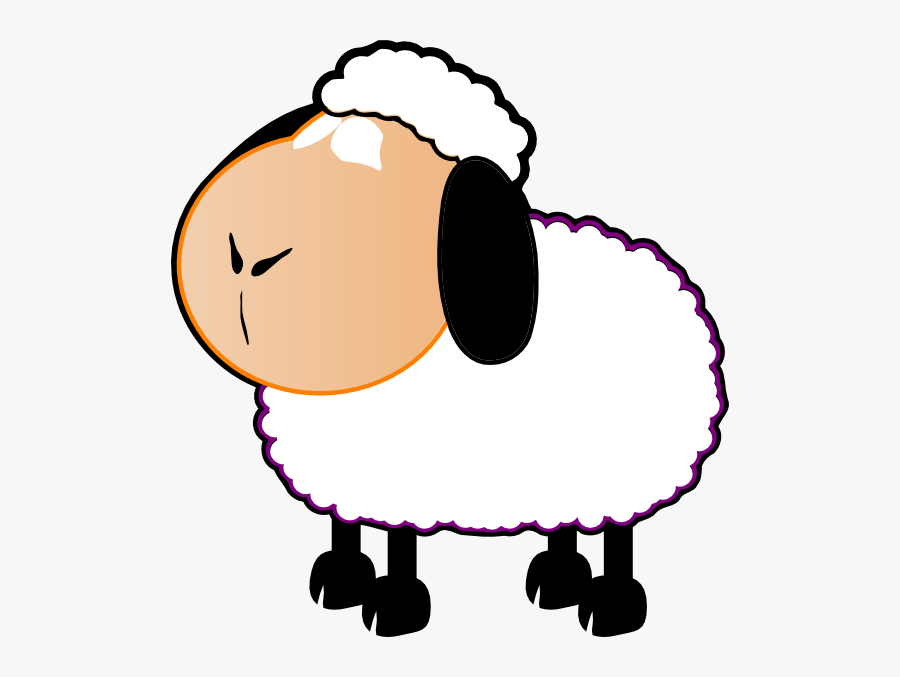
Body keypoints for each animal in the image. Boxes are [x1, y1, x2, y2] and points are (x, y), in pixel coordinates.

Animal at [172, 41, 727, 638]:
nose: (246, 257)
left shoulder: (404, 476)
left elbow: (398, 545)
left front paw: (393, 607)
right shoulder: (349, 474)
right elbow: (347, 527)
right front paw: (340, 582)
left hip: (626, 459)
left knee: (617, 532)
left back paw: (609, 607)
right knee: (566, 522)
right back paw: (556, 581)